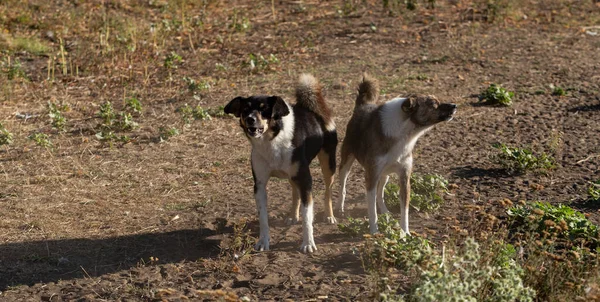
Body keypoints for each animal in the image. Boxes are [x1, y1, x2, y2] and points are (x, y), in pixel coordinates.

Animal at [225, 73, 338, 252]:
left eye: (264, 109)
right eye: (245, 110)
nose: (250, 119)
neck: (272, 140)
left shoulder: (306, 180)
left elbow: (307, 216)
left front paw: (308, 243)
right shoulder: (260, 185)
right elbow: (263, 218)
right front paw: (263, 241)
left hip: (328, 165)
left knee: (328, 190)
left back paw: (329, 215)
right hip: (292, 175)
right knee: (294, 192)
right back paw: (292, 216)